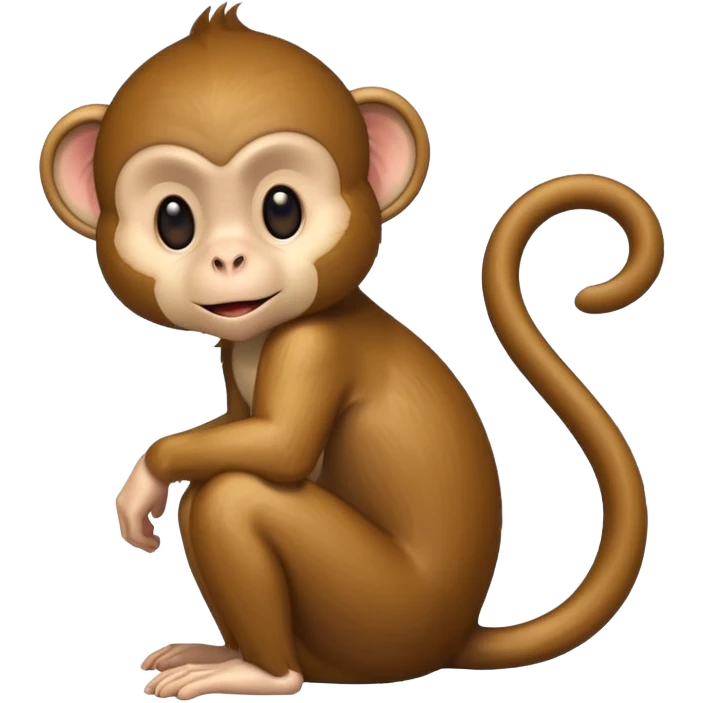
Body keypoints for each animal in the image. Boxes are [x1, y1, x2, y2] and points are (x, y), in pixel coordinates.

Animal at [38, 3, 662, 699]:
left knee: (233, 497)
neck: (268, 330)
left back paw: (264, 673)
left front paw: (147, 475)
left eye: (282, 209)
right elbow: (238, 428)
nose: (228, 260)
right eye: (174, 221)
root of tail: (455, 638)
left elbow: (278, 447)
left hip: (378, 616)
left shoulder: (314, 347)